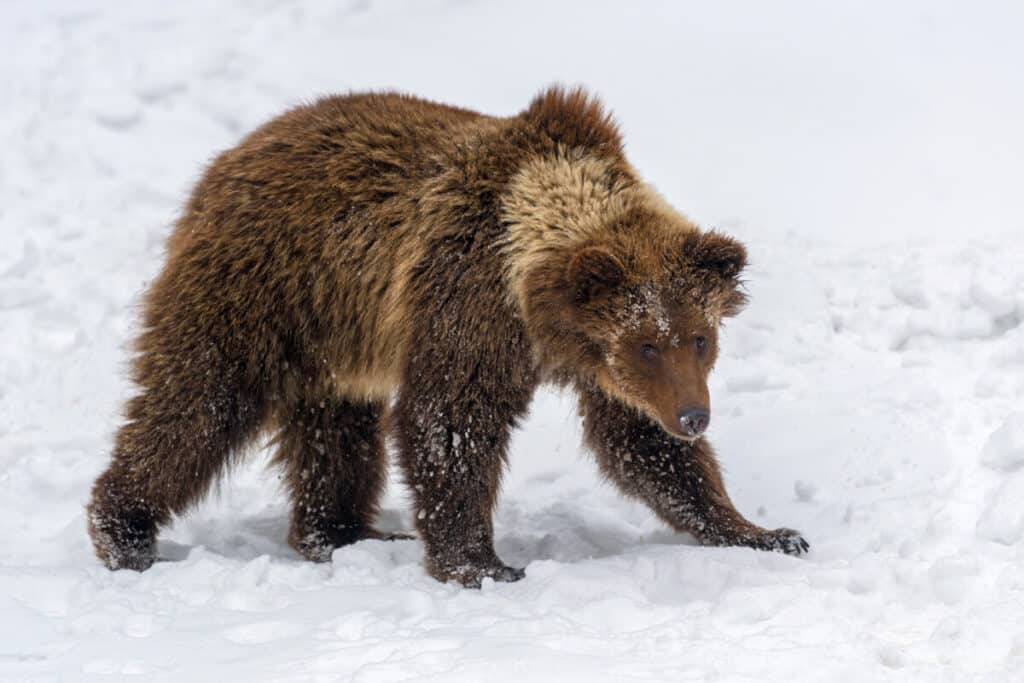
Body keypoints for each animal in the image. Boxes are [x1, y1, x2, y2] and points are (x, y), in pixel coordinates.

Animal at [87, 86, 808, 587]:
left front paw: (763, 531)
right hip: (260, 290)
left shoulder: (593, 364)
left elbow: (640, 444)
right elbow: (450, 422)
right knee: (198, 403)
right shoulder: (468, 304)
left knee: (333, 431)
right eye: (647, 344)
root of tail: (226, 160)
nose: (693, 415)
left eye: (700, 337)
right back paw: (124, 531)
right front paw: (484, 564)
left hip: (334, 339)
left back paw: (345, 532)